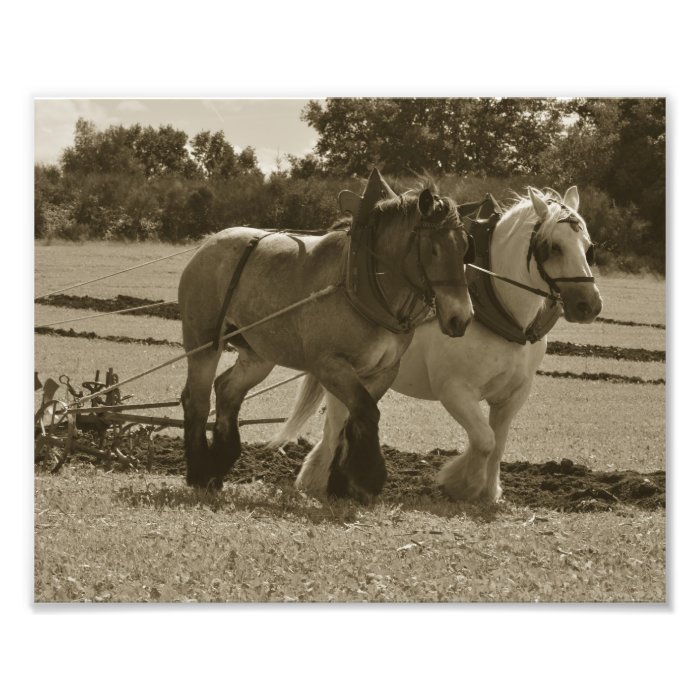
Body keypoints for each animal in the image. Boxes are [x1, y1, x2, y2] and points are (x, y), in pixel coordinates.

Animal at [179, 172, 476, 500]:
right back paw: (199, 471)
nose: (460, 317)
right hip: (203, 342)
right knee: (197, 399)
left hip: (258, 354)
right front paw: (366, 479)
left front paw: (342, 483)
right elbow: (366, 411)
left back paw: (219, 464)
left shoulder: (383, 370)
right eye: (433, 249)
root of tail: (210, 241)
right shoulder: (329, 364)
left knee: (227, 390)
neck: (362, 282)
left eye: (465, 247)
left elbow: (353, 417)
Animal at [268, 186, 600, 504]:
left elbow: (498, 442)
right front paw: (462, 484)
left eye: (588, 247)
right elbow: (484, 440)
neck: (500, 310)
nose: (589, 305)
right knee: (337, 421)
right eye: (553, 247)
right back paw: (320, 478)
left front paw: (490, 492)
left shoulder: (514, 394)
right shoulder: (455, 390)